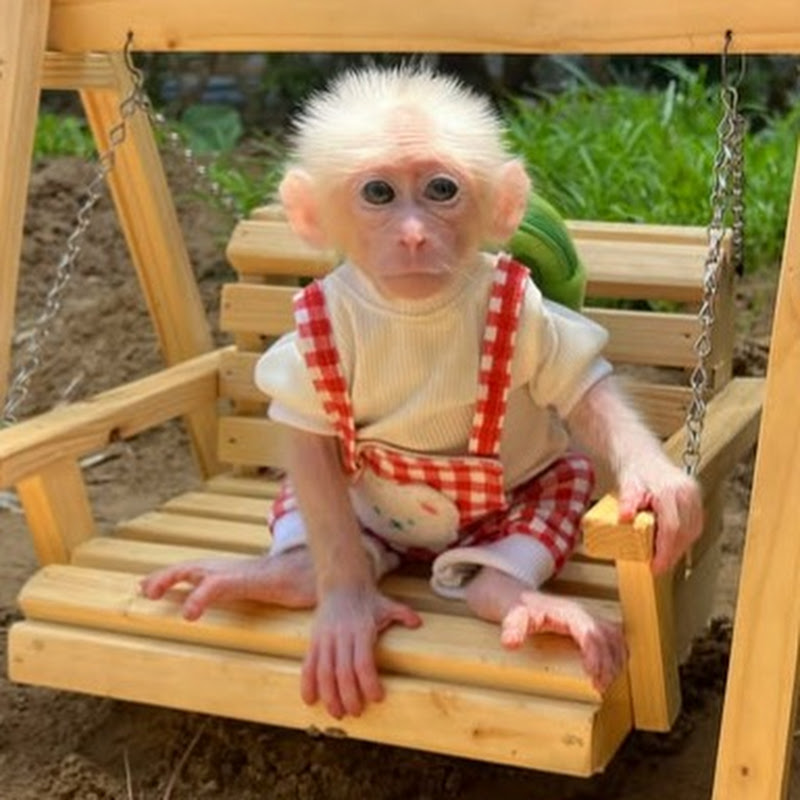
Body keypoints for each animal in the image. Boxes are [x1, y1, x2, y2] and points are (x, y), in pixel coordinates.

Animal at [141, 66, 703, 721]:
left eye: (441, 189)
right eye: (378, 193)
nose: (412, 236)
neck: (414, 312)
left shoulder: (534, 314)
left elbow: (582, 384)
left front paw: (658, 482)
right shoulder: (306, 352)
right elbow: (305, 431)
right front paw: (347, 609)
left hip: (543, 491)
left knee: (528, 524)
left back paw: (520, 598)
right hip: (338, 508)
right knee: (314, 517)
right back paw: (283, 576)